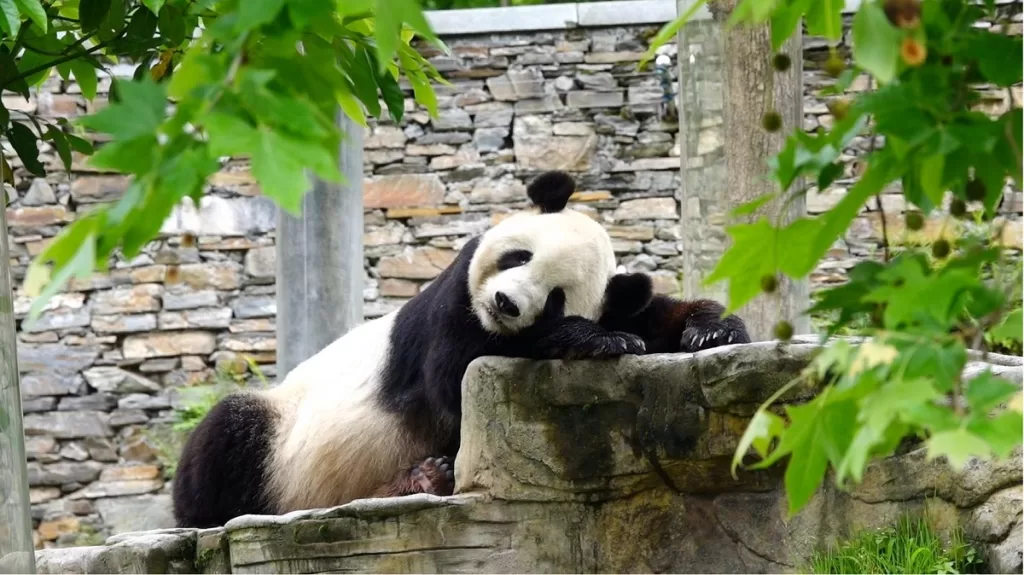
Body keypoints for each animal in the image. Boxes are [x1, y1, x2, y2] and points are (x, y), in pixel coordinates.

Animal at [171, 171, 749, 528]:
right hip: (284, 434)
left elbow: (653, 312)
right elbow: (453, 380)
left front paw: (711, 331)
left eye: (557, 297)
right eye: (519, 257)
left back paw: (422, 479)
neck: (490, 324)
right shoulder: (454, 297)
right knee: (226, 436)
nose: (506, 303)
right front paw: (599, 340)